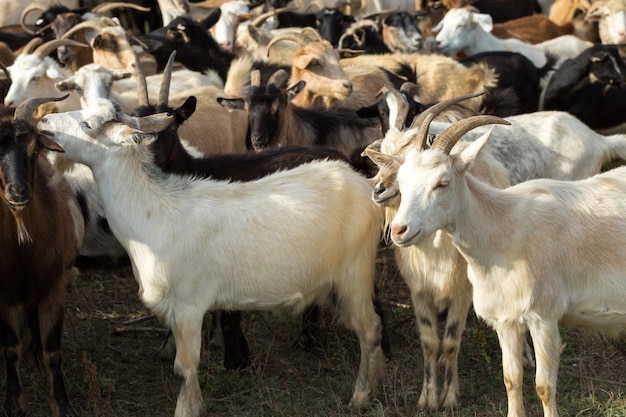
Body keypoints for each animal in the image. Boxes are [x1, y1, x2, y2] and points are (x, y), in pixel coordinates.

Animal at [0, 95, 84, 416]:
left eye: (34, 149)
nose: (18, 192)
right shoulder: (5, 297)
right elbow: (10, 349)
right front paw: (13, 401)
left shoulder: (54, 290)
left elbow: (53, 353)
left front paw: (62, 404)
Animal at [37, 98, 386, 416]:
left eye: (88, 125)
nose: (43, 121)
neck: (152, 212)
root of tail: (363, 182)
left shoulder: (189, 306)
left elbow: (184, 367)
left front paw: (187, 410)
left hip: (355, 273)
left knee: (369, 329)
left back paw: (361, 397)